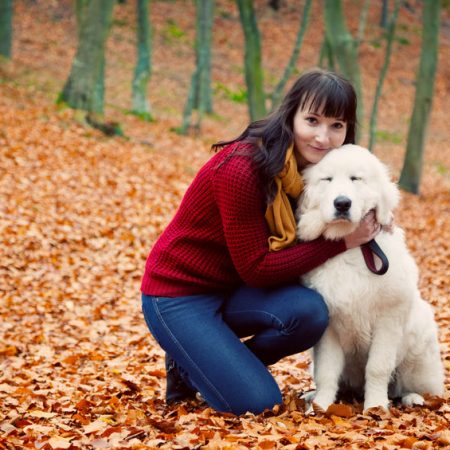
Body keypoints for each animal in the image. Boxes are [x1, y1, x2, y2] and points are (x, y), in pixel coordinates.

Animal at [296, 144, 444, 412]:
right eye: (327, 179)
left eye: (356, 179)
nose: (342, 203)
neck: (350, 248)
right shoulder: (329, 325)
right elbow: (327, 371)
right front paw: (321, 406)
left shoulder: (388, 319)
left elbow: (377, 367)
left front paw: (375, 407)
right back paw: (311, 396)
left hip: (419, 350)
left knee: (419, 389)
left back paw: (413, 398)